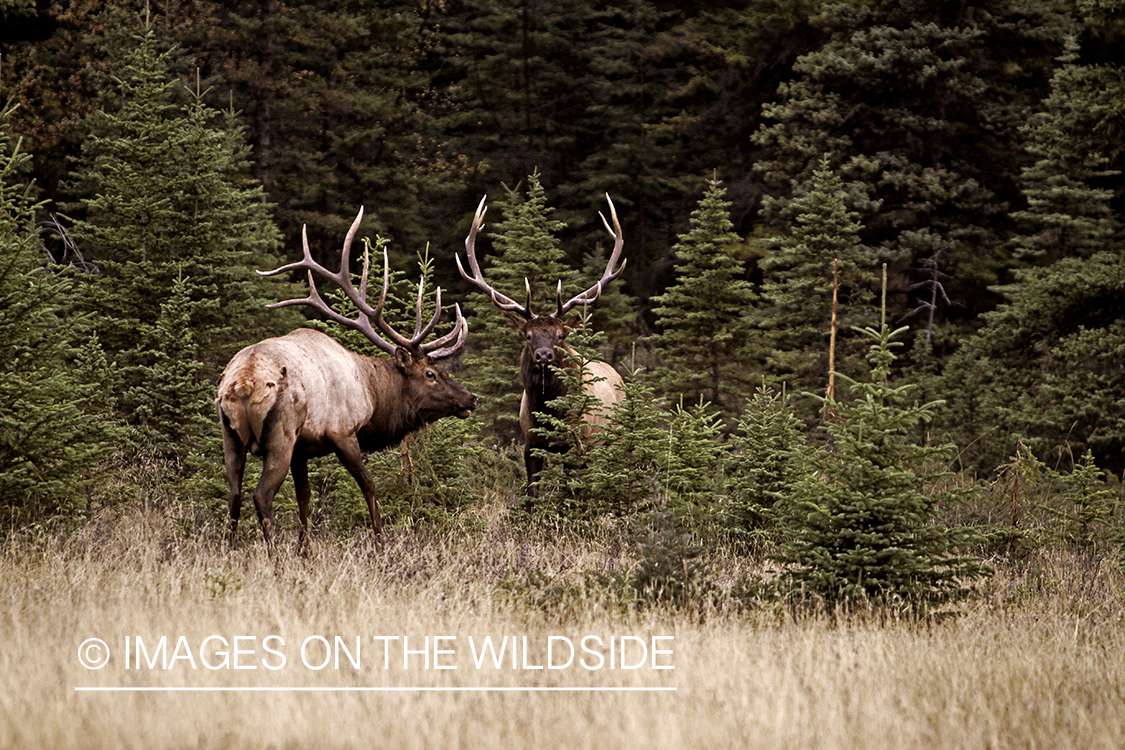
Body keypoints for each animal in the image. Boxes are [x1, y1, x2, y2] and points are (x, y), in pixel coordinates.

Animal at [214, 208, 474, 548]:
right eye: (431, 374)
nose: (471, 398)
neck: (372, 395)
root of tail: (244, 382)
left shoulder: (302, 448)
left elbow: (304, 496)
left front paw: (305, 548)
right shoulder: (343, 432)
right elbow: (369, 485)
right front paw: (381, 540)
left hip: (230, 436)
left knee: (233, 495)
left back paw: (230, 548)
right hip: (280, 435)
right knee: (261, 495)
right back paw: (273, 552)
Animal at [459, 193, 634, 499]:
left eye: (560, 335)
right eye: (528, 336)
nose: (543, 355)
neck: (549, 413)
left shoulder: (579, 442)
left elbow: (570, 494)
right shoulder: (530, 442)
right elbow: (531, 494)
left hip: (613, 437)